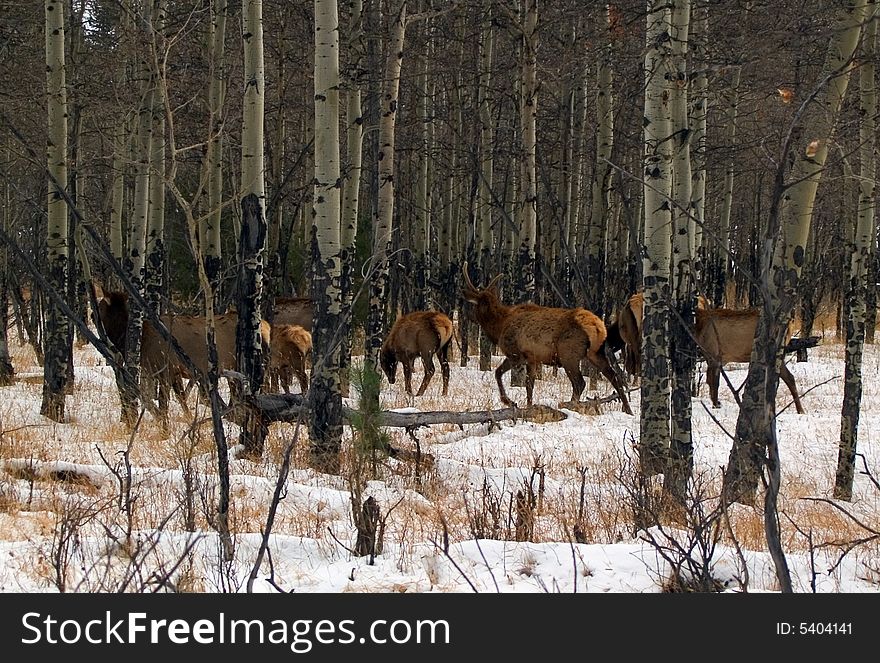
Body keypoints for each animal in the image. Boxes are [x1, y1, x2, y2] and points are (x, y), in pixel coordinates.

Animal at [460, 264, 632, 416]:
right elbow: (529, 384)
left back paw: (569, 406)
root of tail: (597, 327)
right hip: (596, 353)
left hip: (568, 354)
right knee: (614, 376)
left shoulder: (516, 354)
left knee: (580, 383)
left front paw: (510, 402)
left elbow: (500, 374)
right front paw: (526, 405)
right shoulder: (533, 358)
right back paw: (628, 410)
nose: (468, 316)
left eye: (473, 305)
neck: (499, 327)